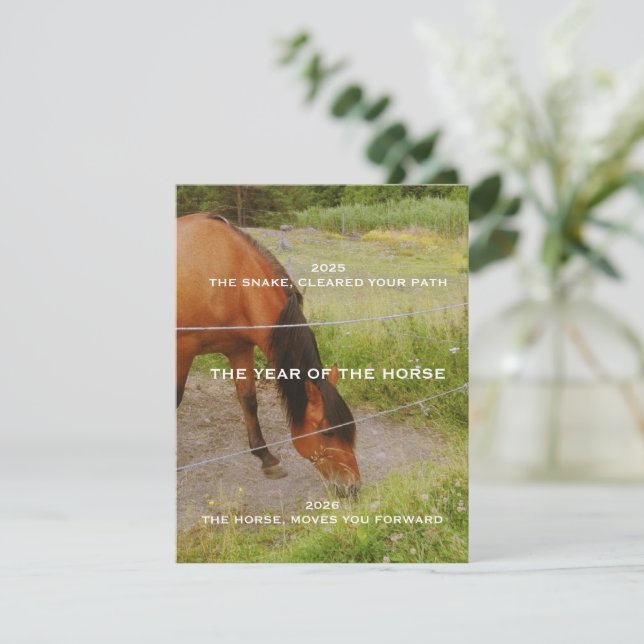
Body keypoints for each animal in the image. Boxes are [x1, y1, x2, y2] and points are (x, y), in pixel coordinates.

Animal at [176, 213, 360, 496]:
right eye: (328, 432)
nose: (353, 486)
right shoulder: (183, 349)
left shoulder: (239, 349)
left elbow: (249, 400)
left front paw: (267, 458)